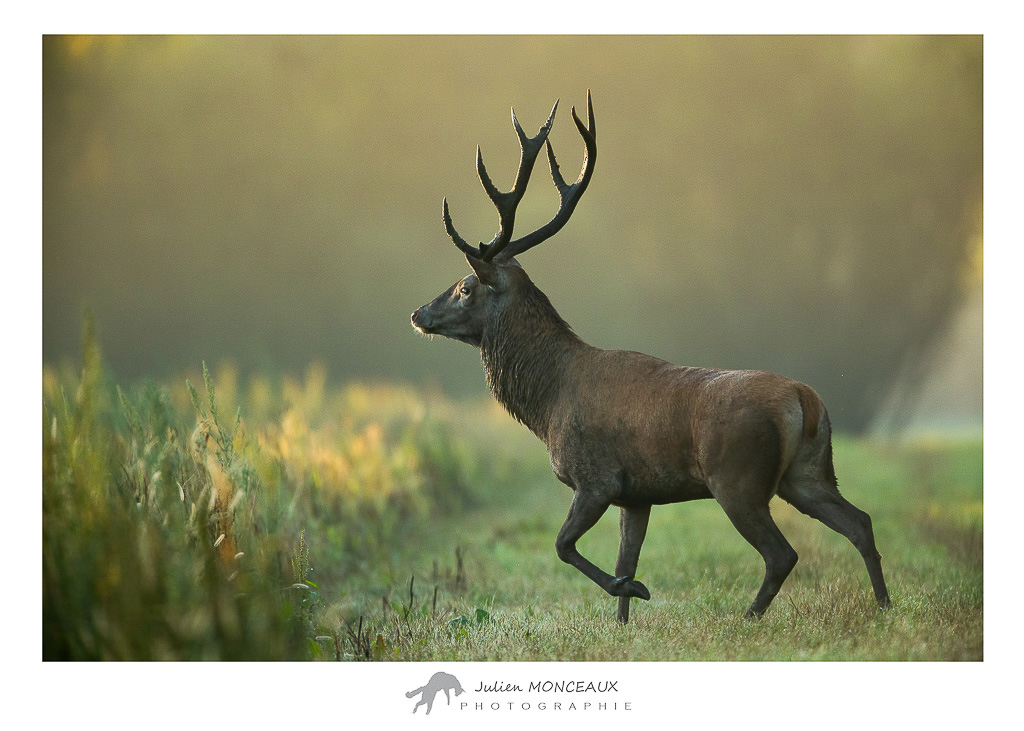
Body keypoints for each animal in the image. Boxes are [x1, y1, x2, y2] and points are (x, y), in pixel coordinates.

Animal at [411, 91, 891, 624]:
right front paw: (623, 617)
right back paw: (884, 606)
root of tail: (806, 402)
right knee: (861, 522)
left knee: (782, 553)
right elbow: (626, 555)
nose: (418, 313)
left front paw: (635, 589)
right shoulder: (636, 495)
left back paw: (747, 618)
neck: (548, 403)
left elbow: (563, 546)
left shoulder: (595, 477)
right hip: (807, 472)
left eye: (464, 287)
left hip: (738, 478)